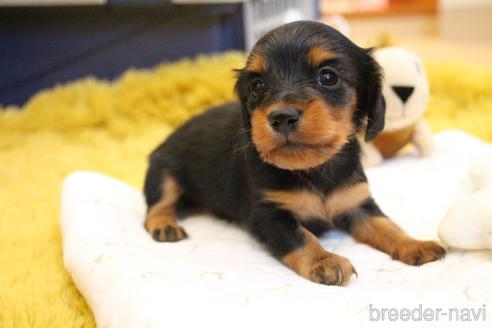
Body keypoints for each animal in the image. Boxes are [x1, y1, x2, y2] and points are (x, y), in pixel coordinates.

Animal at [143, 21, 446, 286]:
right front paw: (325, 261)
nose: (281, 117)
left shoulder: (357, 204)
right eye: (256, 86)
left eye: (328, 77)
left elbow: (386, 225)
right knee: (157, 206)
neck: (312, 167)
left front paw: (415, 244)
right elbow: (301, 237)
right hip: (163, 172)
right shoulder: (269, 215)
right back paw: (164, 225)